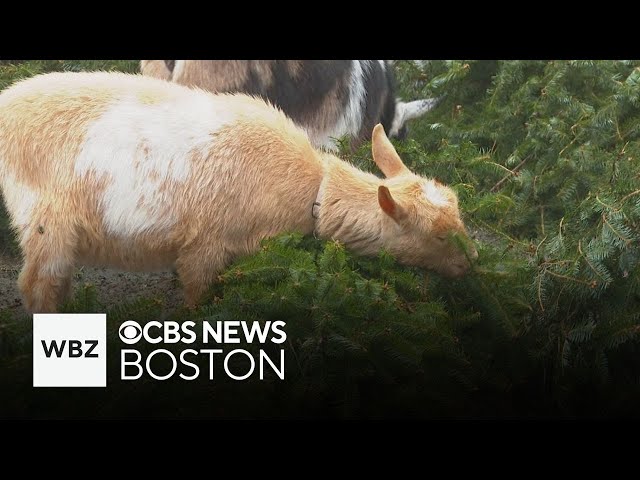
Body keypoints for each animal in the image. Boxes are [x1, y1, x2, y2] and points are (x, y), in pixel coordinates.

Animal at [0, 70, 476, 312]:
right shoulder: (205, 245)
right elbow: (198, 303)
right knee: (37, 285)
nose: (471, 263)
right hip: (44, 217)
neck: (312, 187)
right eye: (437, 235)